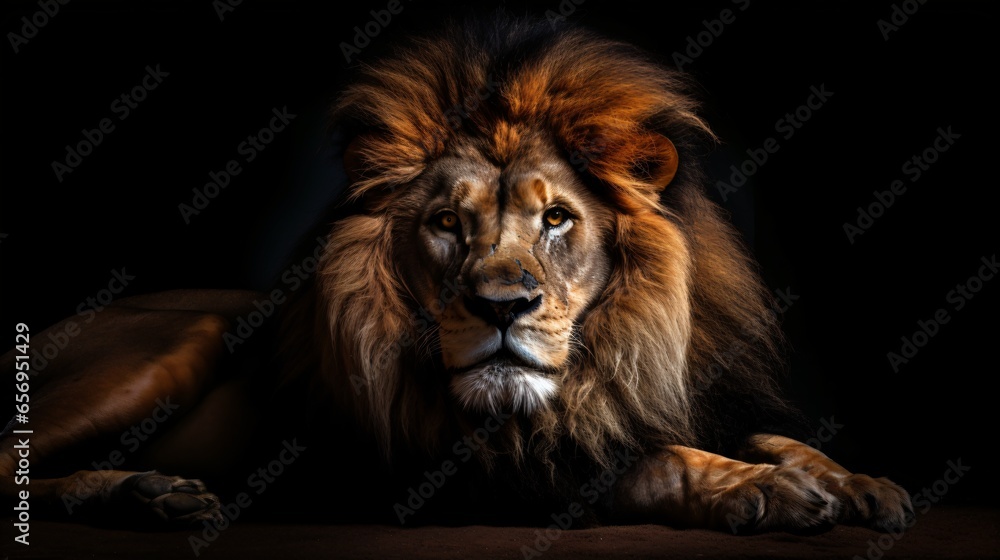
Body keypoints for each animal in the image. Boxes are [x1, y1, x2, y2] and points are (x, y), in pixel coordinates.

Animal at [1, 15, 912, 534]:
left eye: (557, 219)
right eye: (446, 223)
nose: (501, 306)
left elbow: (762, 436)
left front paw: (856, 480)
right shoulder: (464, 477)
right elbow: (659, 464)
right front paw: (772, 492)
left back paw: (153, 495)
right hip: (183, 339)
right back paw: (139, 496)